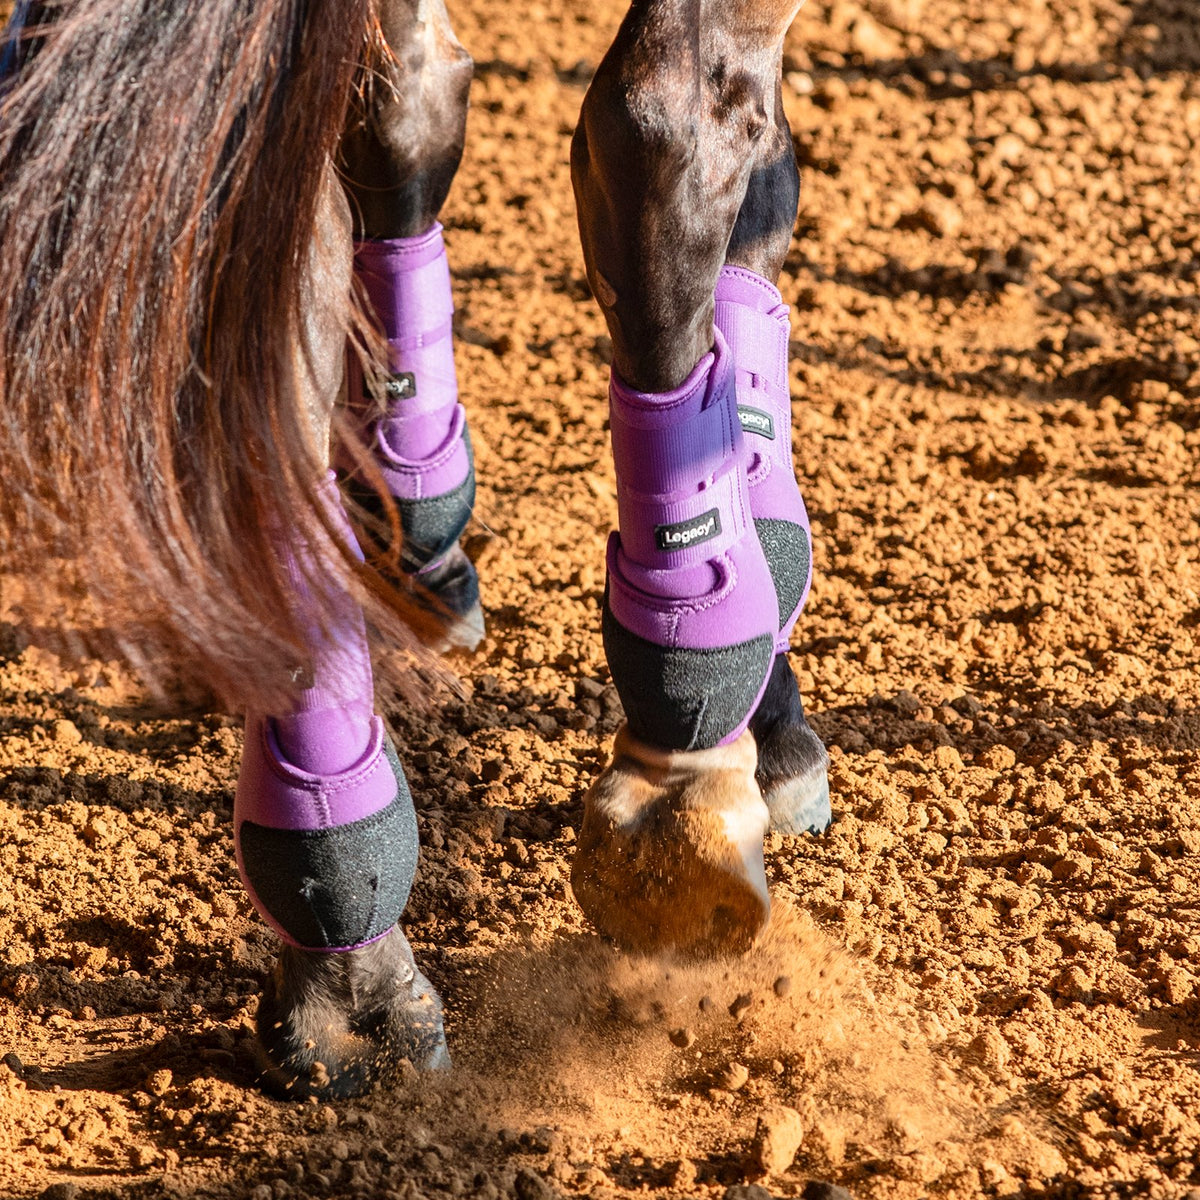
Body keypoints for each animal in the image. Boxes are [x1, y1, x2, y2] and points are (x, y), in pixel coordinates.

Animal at [0, 0, 829, 1099]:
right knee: (663, 134)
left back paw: (345, 960)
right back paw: (679, 797)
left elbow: (403, 126)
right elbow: (746, 187)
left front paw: (418, 512)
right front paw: (766, 708)